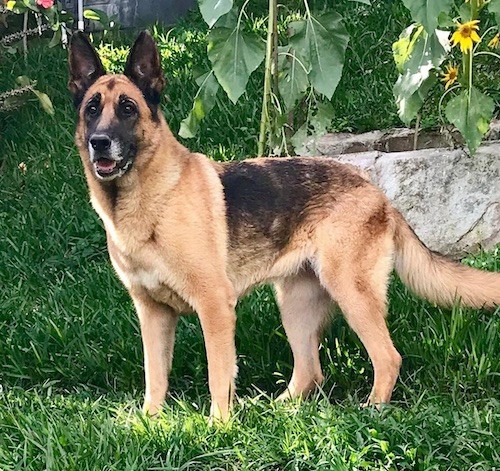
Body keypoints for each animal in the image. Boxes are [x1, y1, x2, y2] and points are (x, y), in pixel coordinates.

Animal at [68, 32, 498, 424]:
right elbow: (154, 376)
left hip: (351, 293)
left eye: (128, 108)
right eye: (92, 109)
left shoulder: (214, 308)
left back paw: (372, 410)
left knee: (386, 357)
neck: (147, 200)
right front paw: (150, 423)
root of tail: (379, 194)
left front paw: (217, 427)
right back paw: (279, 411)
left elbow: (217, 375)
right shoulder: (153, 314)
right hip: (295, 307)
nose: (99, 142)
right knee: (310, 371)